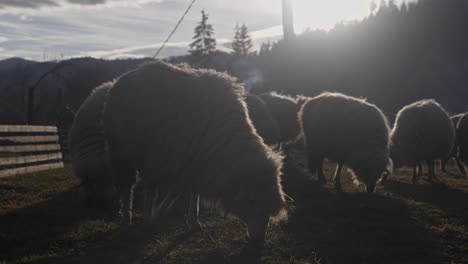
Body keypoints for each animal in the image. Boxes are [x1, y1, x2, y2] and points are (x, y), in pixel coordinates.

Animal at [102, 60, 286, 249]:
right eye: (252, 201)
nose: (259, 240)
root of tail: (125, 76)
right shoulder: (159, 160)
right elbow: (153, 191)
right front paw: (149, 220)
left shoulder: (194, 161)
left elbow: (190, 192)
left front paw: (192, 221)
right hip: (120, 151)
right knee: (127, 187)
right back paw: (127, 217)